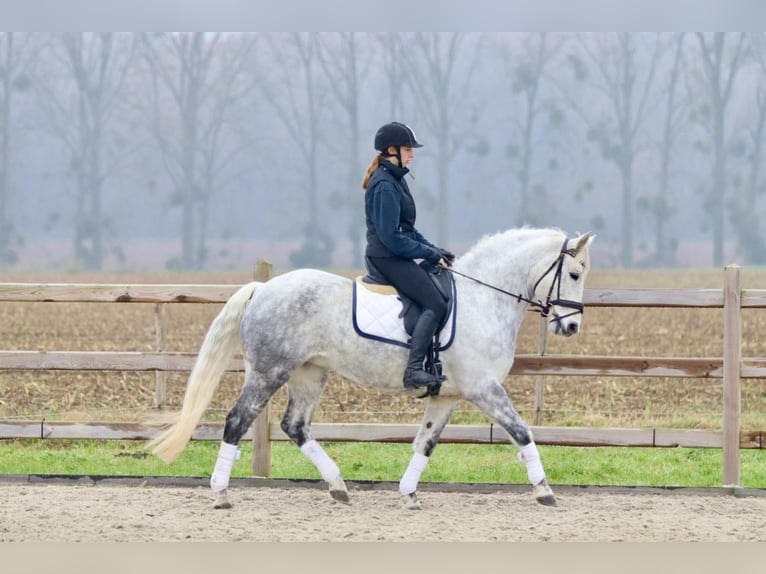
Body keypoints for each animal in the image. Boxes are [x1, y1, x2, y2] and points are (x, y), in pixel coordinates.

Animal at [147, 227, 596, 510]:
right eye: (574, 274)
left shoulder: (447, 397)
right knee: (237, 421)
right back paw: (221, 493)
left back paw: (338, 486)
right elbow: (522, 432)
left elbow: (425, 443)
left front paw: (409, 494)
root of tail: (264, 288)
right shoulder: (484, 389)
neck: (484, 299)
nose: (572, 327)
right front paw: (545, 492)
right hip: (268, 372)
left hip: (309, 374)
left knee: (295, 426)